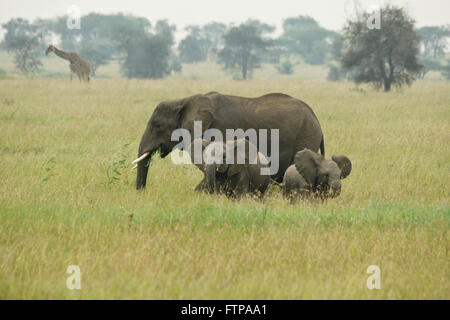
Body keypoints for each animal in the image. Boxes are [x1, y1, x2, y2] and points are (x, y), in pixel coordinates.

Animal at [132, 91, 326, 189]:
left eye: (157, 125)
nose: (142, 192)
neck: (185, 101)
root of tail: (316, 118)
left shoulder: (218, 131)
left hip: (305, 137)